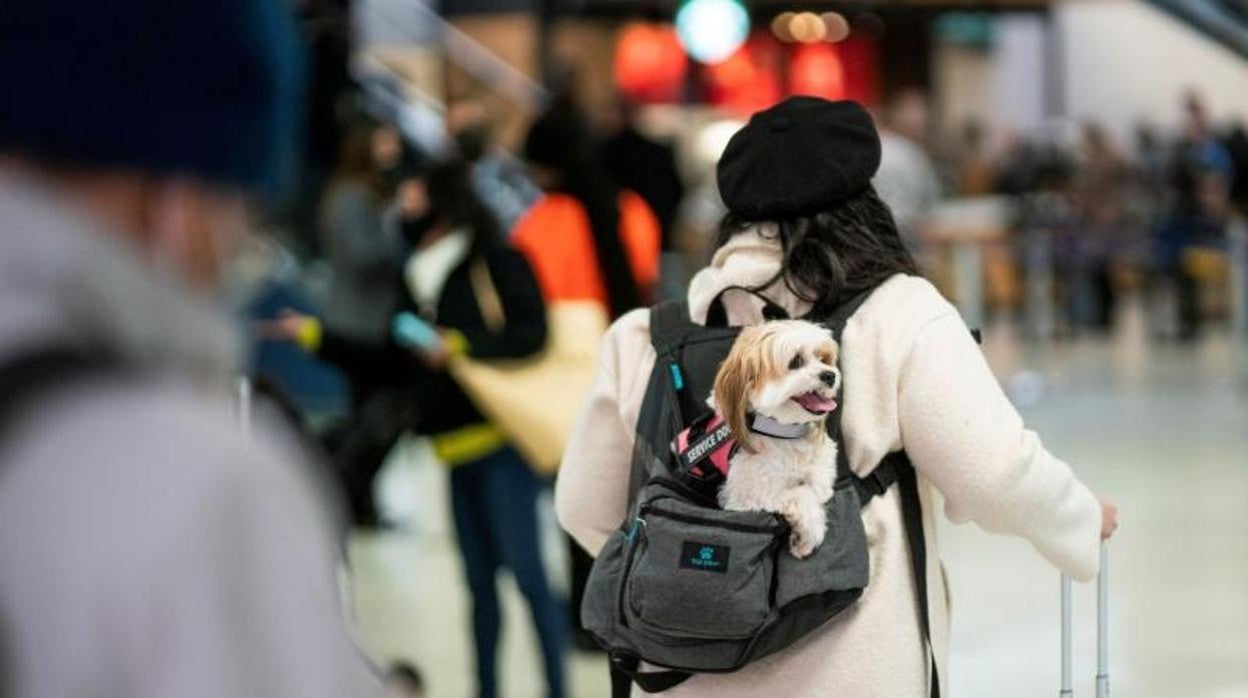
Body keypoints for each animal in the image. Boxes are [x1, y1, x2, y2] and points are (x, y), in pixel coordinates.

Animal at [713, 319, 838, 559]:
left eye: (823, 358)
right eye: (795, 361)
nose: (831, 375)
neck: (783, 433)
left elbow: (820, 481)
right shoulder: (745, 498)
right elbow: (802, 495)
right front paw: (808, 536)